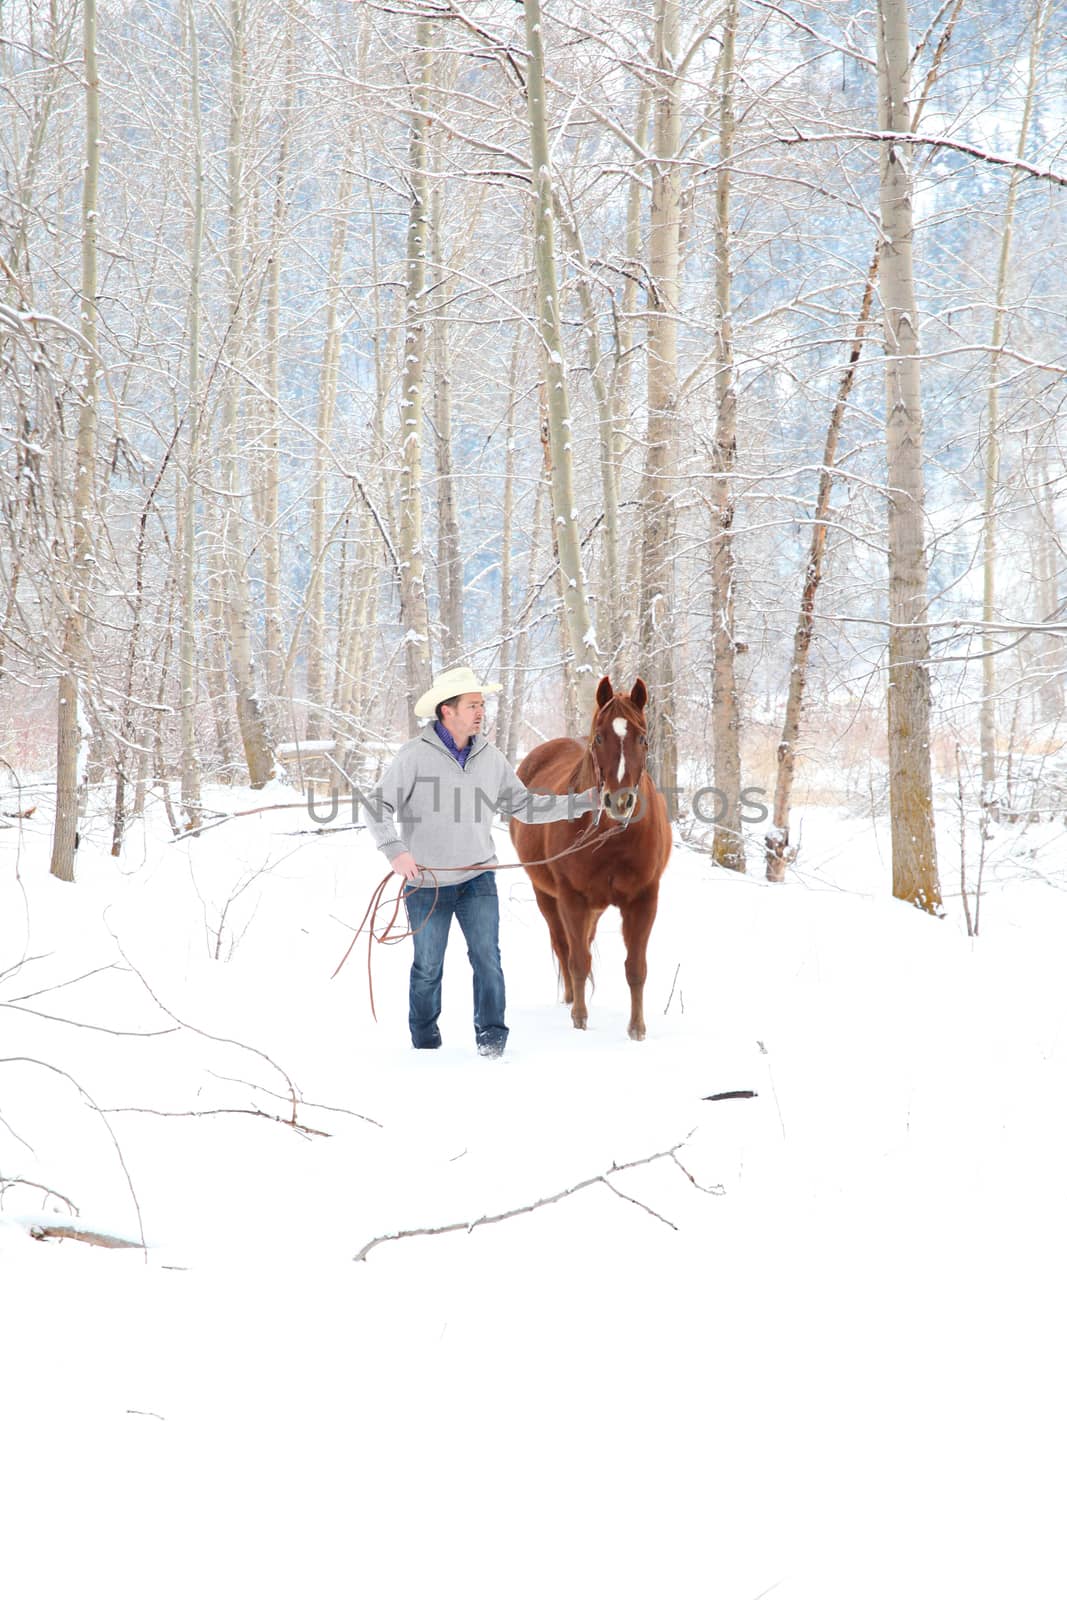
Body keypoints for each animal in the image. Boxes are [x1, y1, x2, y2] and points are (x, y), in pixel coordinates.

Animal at [508, 672, 668, 1036]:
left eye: (642, 737)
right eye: (598, 737)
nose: (619, 802)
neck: (611, 840)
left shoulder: (644, 899)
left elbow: (636, 968)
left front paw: (637, 1029)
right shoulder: (572, 898)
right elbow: (578, 960)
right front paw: (579, 1021)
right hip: (548, 897)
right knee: (564, 946)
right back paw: (570, 999)